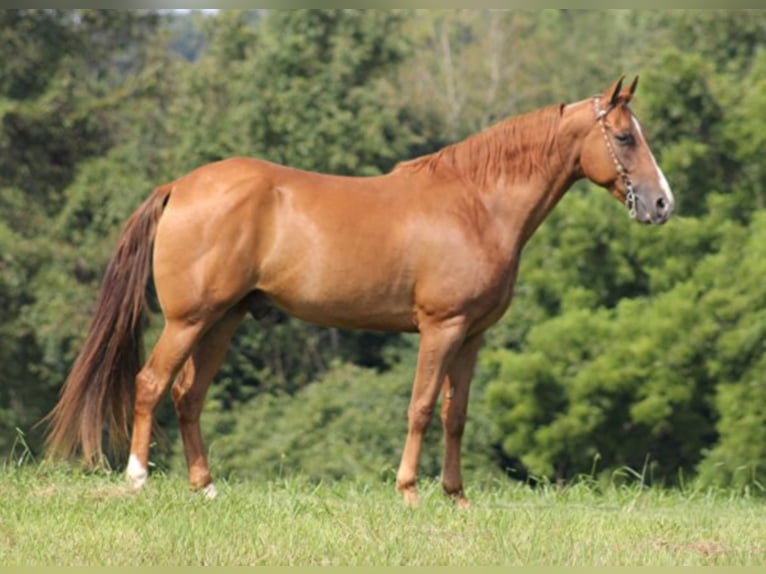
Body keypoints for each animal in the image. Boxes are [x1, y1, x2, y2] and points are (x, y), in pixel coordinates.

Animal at [45, 76, 676, 508]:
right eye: (625, 137)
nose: (662, 203)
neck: (476, 203)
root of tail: (179, 186)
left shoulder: (471, 336)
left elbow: (455, 414)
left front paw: (457, 496)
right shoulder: (440, 327)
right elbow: (421, 407)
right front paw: (410, 491)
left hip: (222, 321)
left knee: (187, 396)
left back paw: (206, 487)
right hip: (188, 320)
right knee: (151, 384)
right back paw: (137, 477)